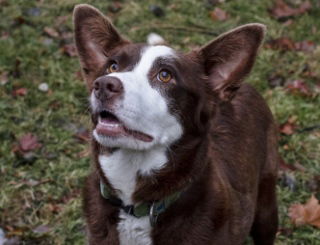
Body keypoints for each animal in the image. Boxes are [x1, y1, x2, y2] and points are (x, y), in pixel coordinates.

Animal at [74, 4, 278, 245]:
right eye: (112, 66)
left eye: (165, 75)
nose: (104, 85)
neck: (135, 208)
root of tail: (245, 86)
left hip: (266, 203)